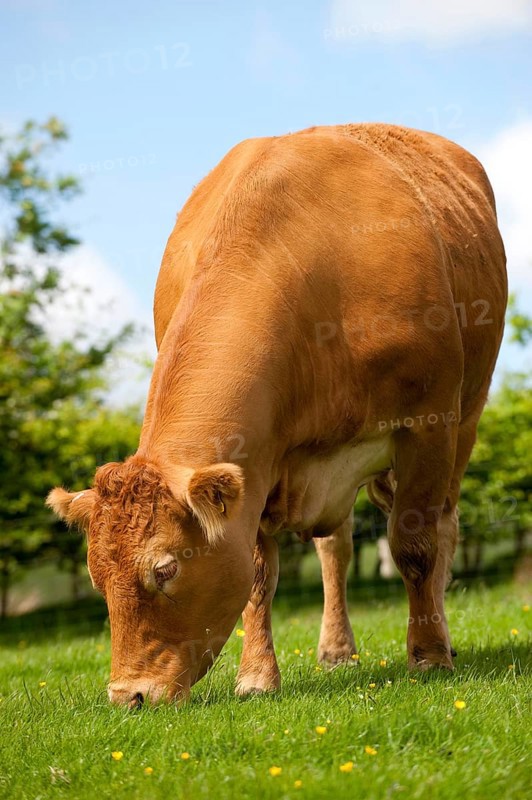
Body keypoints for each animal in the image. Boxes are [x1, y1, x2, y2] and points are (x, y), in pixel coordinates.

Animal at [47, 123, 507, 706]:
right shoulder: (257, 462)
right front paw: (257, 676)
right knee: (336, 548)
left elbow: (416, 546)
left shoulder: (427, 425)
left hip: (466, 418)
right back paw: (336, 648)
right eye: (96, 577)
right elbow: (259, 574)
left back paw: (440, 635)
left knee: (443, 526)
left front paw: (427, 657)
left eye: (165, 569)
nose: (129, 696)